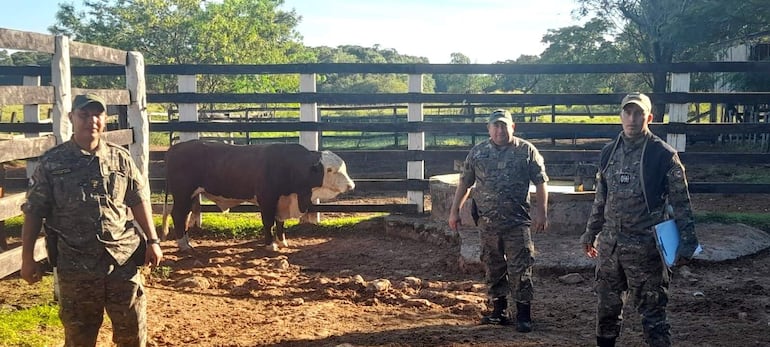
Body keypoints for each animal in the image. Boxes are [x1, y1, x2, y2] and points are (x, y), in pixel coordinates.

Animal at [160, 140, 356, 251]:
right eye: (329, 170)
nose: (351, 185)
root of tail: (174, 148)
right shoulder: (267, 199)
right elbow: (268, 222)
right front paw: (271, 245)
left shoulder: (281, 201)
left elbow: (280, 222)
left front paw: (283, 242)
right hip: (183, 193)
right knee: (177, 215)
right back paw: (184, 245)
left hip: (190, 195)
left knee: (184, 216)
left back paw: (186, 241)